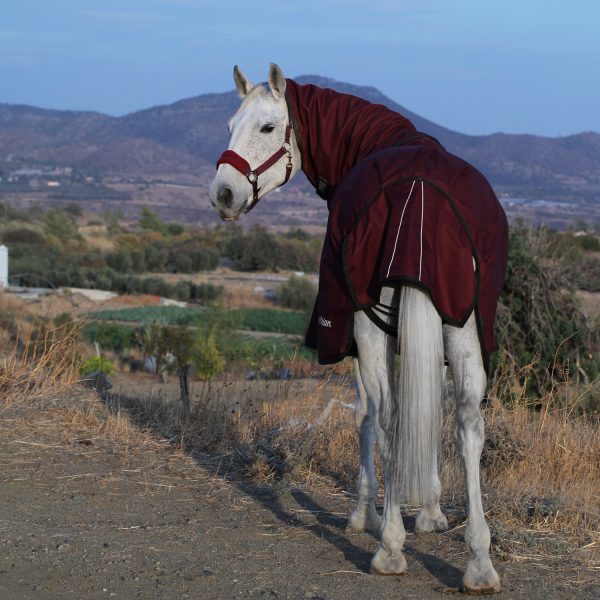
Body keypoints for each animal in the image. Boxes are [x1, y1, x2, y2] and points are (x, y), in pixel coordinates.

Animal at [209, 63, 500, 592]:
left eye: (267, 127)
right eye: (228, 127)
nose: (222, 194)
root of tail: (421, 196)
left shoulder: (359, 332)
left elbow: (366, 416)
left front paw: (366, 515)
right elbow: (430, 409)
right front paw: (430, 512)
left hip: (369, 323)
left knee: (385, 415)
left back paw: (389, 548)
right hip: (464, 326)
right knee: (469, 422)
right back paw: (479, 562)